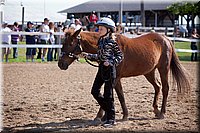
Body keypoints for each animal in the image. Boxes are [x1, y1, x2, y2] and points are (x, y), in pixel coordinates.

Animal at [57, 28, 191, 120]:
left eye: (70, 43)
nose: (60, 64)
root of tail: (166, 38)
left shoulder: (115, 78)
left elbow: (113, 95)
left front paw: (105, 115)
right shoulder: (113, 78)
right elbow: (117, 95)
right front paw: (115, 115)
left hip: (163, 69)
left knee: (165, 88)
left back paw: (162, 112)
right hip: (149, 72)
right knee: (157, 87)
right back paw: (156, 110)